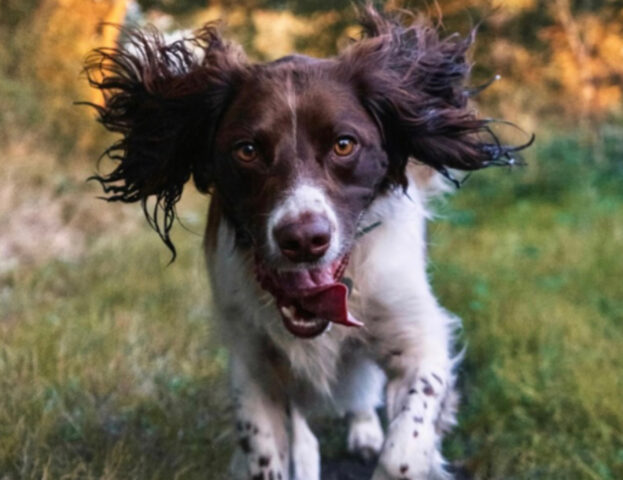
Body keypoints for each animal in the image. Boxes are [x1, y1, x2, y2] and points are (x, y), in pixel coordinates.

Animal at [85, 4, 528, 480]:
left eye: (344, 144)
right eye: (247, 150)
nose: (302, 240)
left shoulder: (420, 338)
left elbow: (404, 451)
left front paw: (389, 444)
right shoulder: (253, 364)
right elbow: (266, 452)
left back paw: (364, 432)